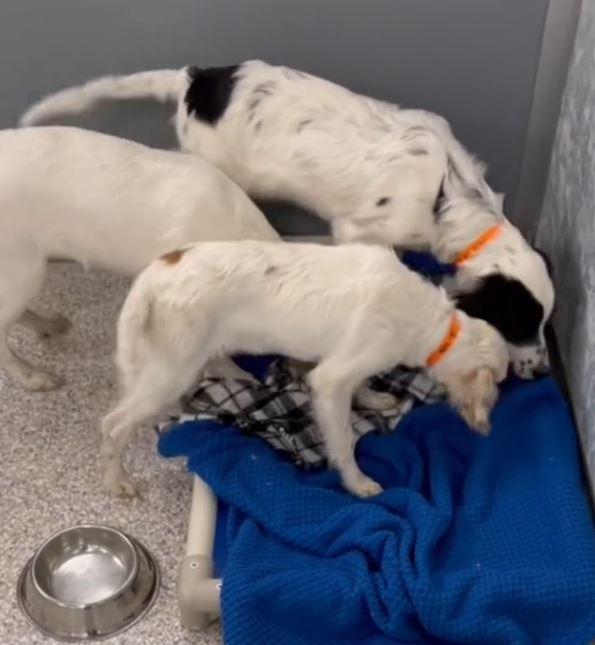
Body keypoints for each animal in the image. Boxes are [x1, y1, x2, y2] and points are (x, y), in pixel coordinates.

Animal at [21, 60, 556, 378]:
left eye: (544, 322)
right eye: (521, 321)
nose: (543, 373)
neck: (451, 194)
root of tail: (197, 79)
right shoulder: (359, 232)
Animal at [101, 242, 508, 498]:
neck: (433, 325)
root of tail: (154, 273)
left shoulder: (347, 365)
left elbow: (362, 387)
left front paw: (375, 399)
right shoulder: (331, 379)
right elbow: (343, 441)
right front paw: (358, 483)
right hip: (173, 370)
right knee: (113, 426)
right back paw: (118, 482)